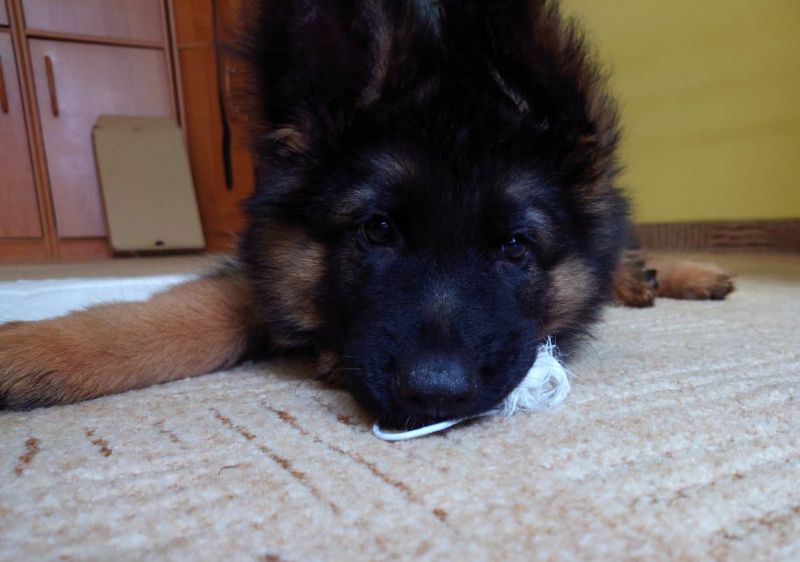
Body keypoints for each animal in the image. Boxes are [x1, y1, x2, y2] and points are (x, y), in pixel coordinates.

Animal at [0, 0, 733, 427]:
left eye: (515, 247)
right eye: (377, 232)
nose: (436, 394)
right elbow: (178, 318)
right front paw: (39, 350)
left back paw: (674, 274)